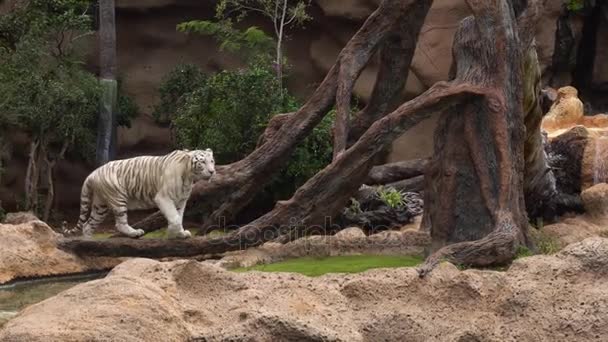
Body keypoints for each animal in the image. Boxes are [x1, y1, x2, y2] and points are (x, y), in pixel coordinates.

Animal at [72, 148, 215, 239]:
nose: (212, 171)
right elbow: (174, 217)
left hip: (100, 206)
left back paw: (88, 242)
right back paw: (135, 233)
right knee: (120, 224)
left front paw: (178, 233)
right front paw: (175, 232)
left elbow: (178, 217)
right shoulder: (163, 197)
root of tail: (93, 173)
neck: (188, 176)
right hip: (118, 198)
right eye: (202, 162)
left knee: (88, 225)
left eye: (212, 161)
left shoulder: (181, 200)